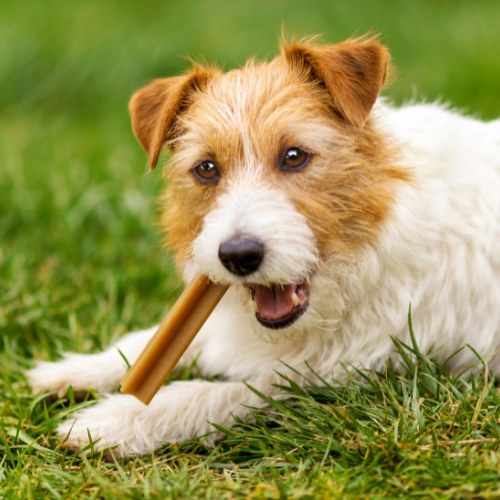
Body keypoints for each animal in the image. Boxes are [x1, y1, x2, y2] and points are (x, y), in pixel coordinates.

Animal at [26, 33, 500, 458]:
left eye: (294, 156)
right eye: (206, 168)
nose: (238, 256)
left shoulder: (348, 383)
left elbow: (222, 393)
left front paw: (115, 420)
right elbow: (154, 342)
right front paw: (72, 370)